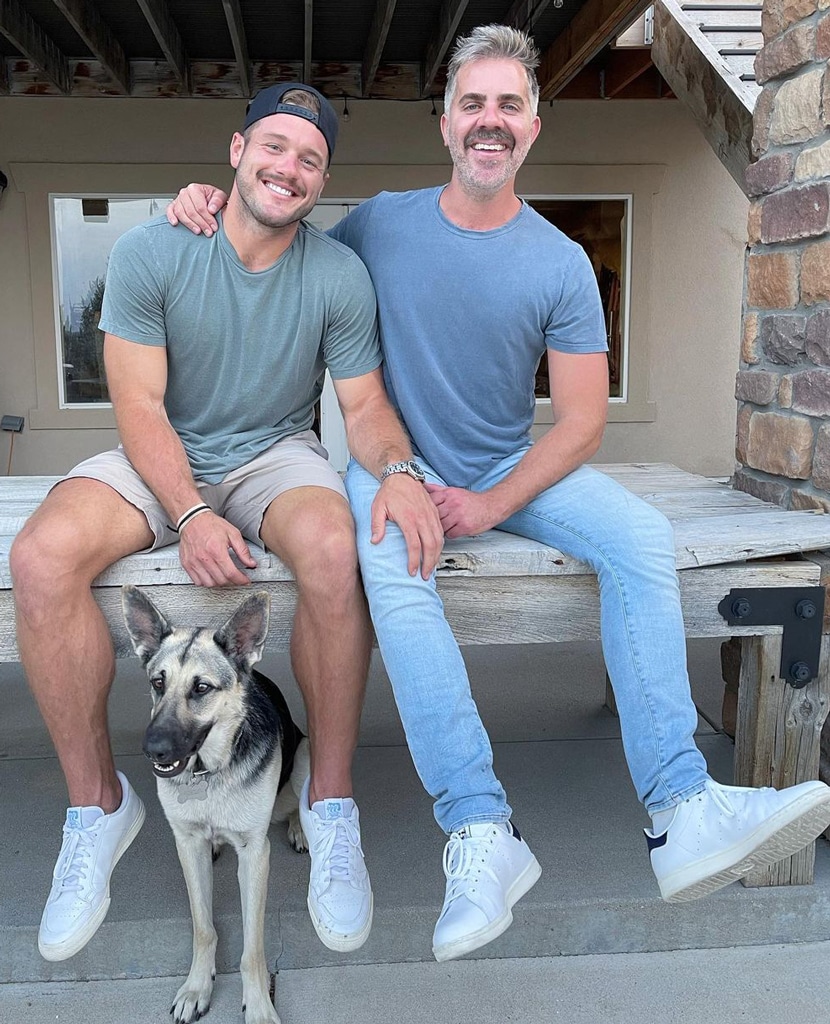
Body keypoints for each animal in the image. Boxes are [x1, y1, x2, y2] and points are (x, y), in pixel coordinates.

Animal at [120, 585, 309, 1024]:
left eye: (202, 688)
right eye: (158, 682)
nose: (152, 750)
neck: (208, 771)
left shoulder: (255, 854)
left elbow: (253, 947)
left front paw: (259, 1005)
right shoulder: (187, 845)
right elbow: (203, 926)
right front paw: (196, 987)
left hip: (305, 755)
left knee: (296, 802)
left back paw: (298, 828)